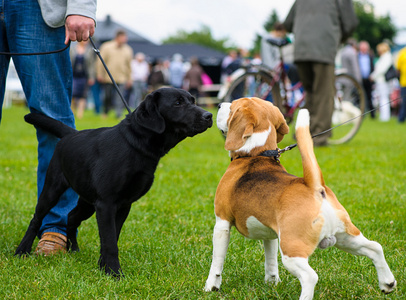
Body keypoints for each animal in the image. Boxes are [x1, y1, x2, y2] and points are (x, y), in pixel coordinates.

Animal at [15, 87, 213, 276]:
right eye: (178, 103)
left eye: (193, 100)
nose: (209, 115)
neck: (135, 146)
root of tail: (70, 134)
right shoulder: (106, 204)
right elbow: (110, 241)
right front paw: (113, 272)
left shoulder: (123, 204)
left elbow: (111, 238)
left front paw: (103, 267)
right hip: (52, 189)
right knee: (36, 218)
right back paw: (22, 250)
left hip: (87, 202)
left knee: (71, 217)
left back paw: (73, 249)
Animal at [205, 98, 394, 298]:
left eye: (232, 107)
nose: (219, 105)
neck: (256, 154)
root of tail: (315, 187)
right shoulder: (270, 233)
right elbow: (270, 260)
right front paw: (272, 283)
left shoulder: (222, 221)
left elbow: (217, 261)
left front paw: (211, 286)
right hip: (346, 237)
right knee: (375, 247)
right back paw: (387, 283)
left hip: (292, 249)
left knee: (310, 277)